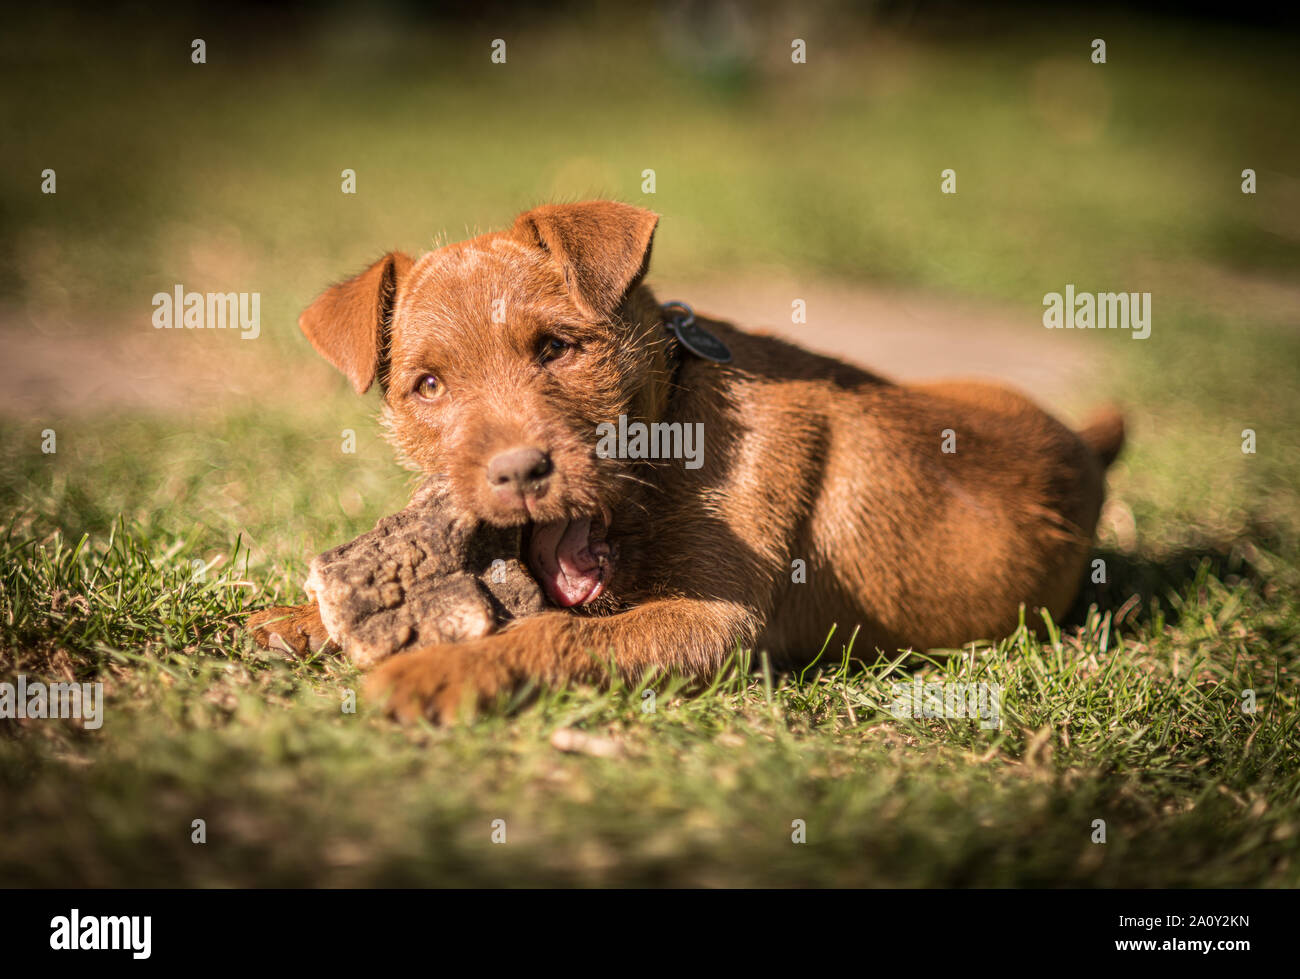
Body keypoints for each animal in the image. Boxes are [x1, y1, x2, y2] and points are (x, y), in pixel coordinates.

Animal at [250, 200, 1118, 717]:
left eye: (556, 347)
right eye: (428, 385)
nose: (519, 472)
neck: (671, 432)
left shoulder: (711, 621)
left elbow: (557, 636)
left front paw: (440, 670)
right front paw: (302, 619)